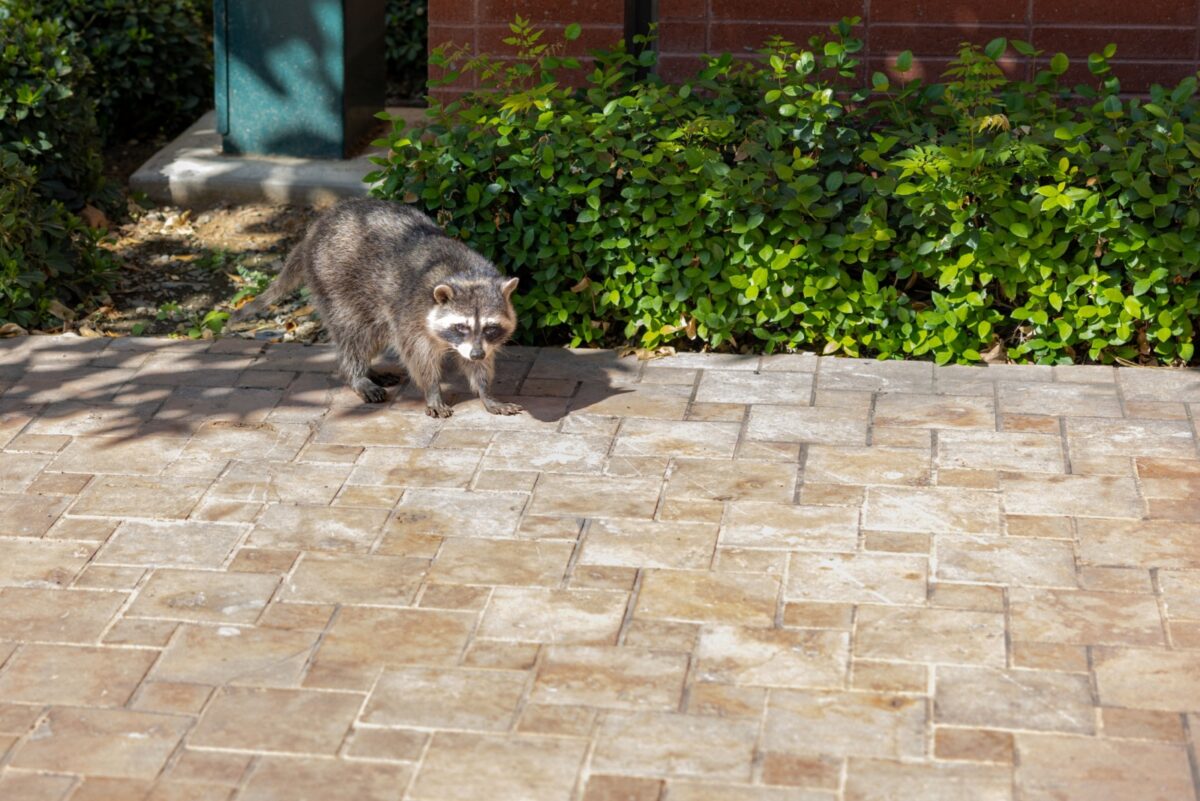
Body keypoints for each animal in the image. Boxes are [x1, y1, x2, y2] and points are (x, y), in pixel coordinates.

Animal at [233, 198, 522, 417]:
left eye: (490, 327)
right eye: (461, 326)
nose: (476, 354)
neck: (465, 274)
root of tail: (314, 230)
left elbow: (479, 365)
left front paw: (485, 391)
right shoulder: (413, 314)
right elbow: (418, 356)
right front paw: (433, 390)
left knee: (373, 333)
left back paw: (368, 370)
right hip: (333, 279)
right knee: (354, 333)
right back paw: (356, 374)